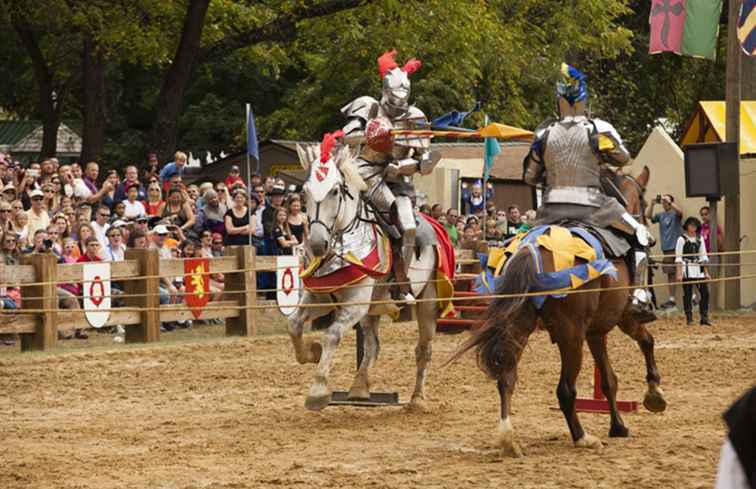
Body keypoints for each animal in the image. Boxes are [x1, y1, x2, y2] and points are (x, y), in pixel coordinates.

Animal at [288, 135, 442, 410]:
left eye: (335, 191)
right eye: (304, 192)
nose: (316, 244)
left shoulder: (355, 304)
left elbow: (332, 335)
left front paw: (317, 391)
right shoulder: (319, 298)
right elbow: (294, 324)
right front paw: (311, 353)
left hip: (428, 299)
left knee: (424, 349)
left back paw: (417, 399)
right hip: (373, 309)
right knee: (372, 345)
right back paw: (359, 388)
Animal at [452, 166, 664, 456]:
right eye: (642, 199)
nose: (651, 236)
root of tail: (530, 250)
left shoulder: (596, 332)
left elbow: (609, 380)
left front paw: (618, 425)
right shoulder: (623, 319)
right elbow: (646, 341)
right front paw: (654, 394)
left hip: (519, 328)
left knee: (506, 378)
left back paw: (508, 439)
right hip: (570, 336)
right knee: (565, 390)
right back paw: (582, 437)